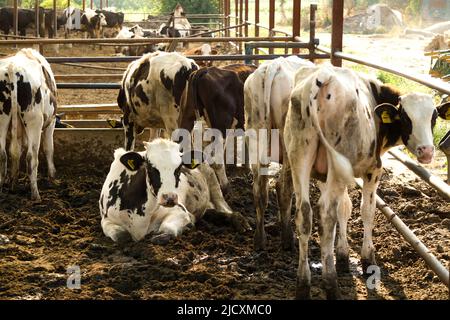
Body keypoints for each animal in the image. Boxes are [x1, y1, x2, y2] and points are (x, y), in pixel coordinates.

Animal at [0, 48, 58, 200]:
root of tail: (13, 68)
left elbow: (16, 151)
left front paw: (13, 182)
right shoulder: (51, 123)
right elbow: (49, 148)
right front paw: (52, 176)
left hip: (2, 119)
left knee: (3, 153)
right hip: (34, 121)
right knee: (31, 156)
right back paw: (35, 194)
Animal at [99, 138, 251, 242]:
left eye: (178, 168)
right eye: (150, 167)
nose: (169, 198)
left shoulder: (180, 211)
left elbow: (166, 230)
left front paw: (188, 226)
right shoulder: (106, 220)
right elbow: (122, 236)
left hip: (215, 186)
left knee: (229, 210)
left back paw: (242, 223)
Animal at [244, 55, 314, 252]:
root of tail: (274, 66)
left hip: (256, 134)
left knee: (259, 191)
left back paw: (259, 240)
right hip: (291, 147)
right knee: (283, 188)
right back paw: (287, 239)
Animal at [284, 63, 450, 300]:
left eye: (433, 117)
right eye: (406, 118)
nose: (427, 151)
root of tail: (322, 79)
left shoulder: (324, 174)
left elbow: (344, 208)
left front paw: (343, 255)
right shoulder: (372, 171)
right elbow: (367, 210)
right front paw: (367, 259)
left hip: (300, 158)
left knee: (304, 215)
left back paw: (303, 284)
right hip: (335, 166)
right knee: (326, 216)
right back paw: (331, 284)